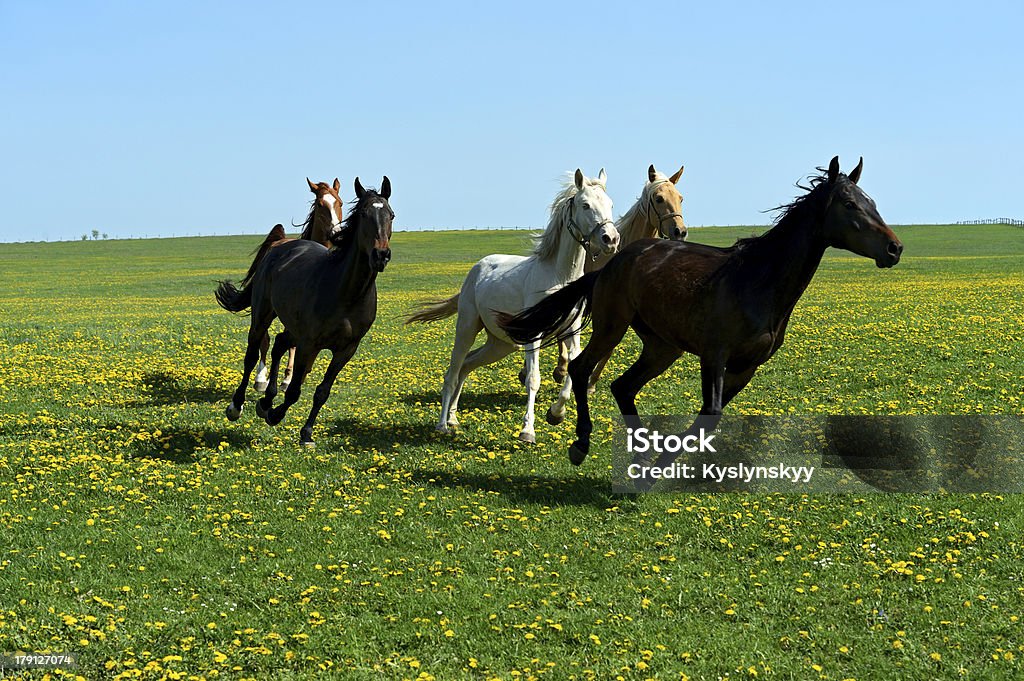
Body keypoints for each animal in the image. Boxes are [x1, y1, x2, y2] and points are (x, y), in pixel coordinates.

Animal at [214, 175, 393, 446]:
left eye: (391, 215)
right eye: (363, 214)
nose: (380, 255)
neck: (348, 292)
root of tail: (279, 246)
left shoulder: (346, 349)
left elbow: (322, 391)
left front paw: (306, 432)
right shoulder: (310, 343)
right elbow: (295, 390)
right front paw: (275, 414)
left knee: (279, 343)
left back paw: (266, 400)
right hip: (263, 315)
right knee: (254, 353)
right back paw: (239, 404)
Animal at [405, 168, 614, 444]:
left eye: (610, 204)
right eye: (585, 205)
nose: (611, 239)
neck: (559, 277)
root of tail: (477, 269)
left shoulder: (571, 331)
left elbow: (573, 366)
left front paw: (555, 414)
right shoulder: (535, 334)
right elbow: (533, 379)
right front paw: (527, 432)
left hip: (500, 344)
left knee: (467, 365)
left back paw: (453, 419)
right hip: (467, 328)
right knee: (453, 371)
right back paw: (442, 425)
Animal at [499, 156, 901, 466]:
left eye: (870, 201)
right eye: (849, 204)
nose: (894, 248)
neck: (758, 280)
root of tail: (614, 262)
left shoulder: (746, 367)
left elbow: (709, 418)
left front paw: (656, 465)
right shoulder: (714, 354)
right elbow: (710, 415)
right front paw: (659, 466)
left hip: (663, 346)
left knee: (622, 386)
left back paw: (638, 454)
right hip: (613, 326)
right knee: (583, 368)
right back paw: (580, 442)